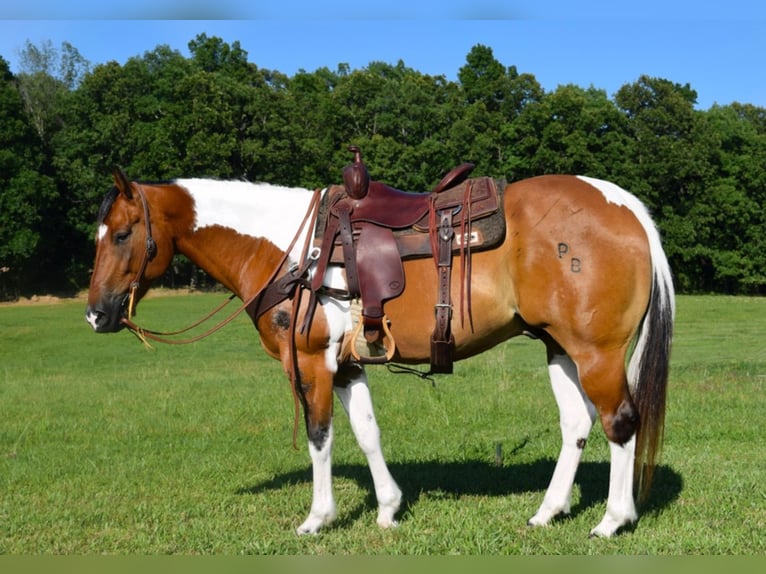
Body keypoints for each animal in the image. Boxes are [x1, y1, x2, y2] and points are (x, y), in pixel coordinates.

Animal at [85, 165, 672, 540]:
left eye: (122, 235)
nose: (95, 315)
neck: (293, 252)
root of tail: (627, 208)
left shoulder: (311, 363)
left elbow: (320, 437)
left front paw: (318, 518)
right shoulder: (346, 367)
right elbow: (367, 433)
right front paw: (388, 509)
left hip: (595, 352)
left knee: (621, 422)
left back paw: (613, 520)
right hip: (560, 348)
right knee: (577, 425)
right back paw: (548, 512)